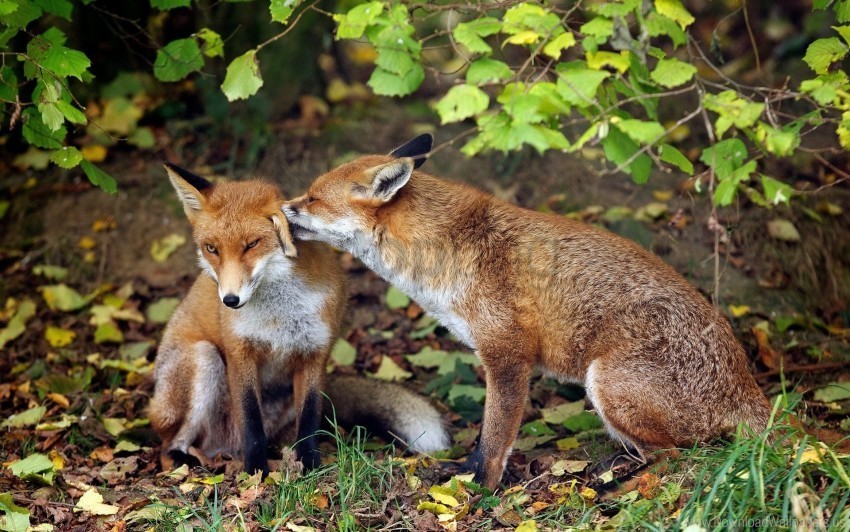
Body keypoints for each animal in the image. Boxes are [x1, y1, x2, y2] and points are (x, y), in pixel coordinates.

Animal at [148, 164, 448, 476]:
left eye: (252, 244)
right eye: (211, 248)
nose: (230, 301)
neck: (280, 317)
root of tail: (222, 448)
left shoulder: (314, 352)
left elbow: (309, 418)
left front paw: (309, 464)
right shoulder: (240, 353)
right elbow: (250, 422)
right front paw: (255, 471)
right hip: (203, 359)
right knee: (169, 445)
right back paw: (183, 461)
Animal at [282, 135, 772, 488]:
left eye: (312, 199)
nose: (282, 209)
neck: (449, 254)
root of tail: (748, 388)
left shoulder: (508, 356)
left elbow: (495, 437)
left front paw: (479, 488)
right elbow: (485, 437)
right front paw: (463, 474)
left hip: (605, 383)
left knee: (681, 455)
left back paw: (620, 481)